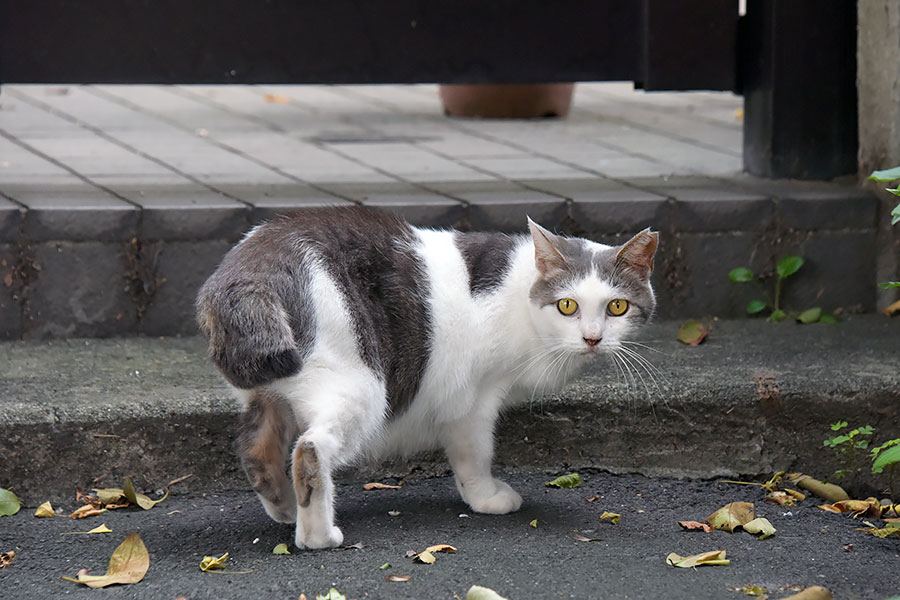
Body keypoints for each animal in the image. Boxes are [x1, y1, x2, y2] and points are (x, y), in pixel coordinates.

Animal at [199, 206, 660, 548]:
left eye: (617, 307)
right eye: (568, 305)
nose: (592, 338)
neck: (524, 302)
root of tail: (254, 263)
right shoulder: (473, 399)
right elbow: (474, 455)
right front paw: (486, 497)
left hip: (267, 397)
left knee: (256, 452)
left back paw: (286, 511)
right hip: (361, 387)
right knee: (309, 451)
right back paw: (318, 536)